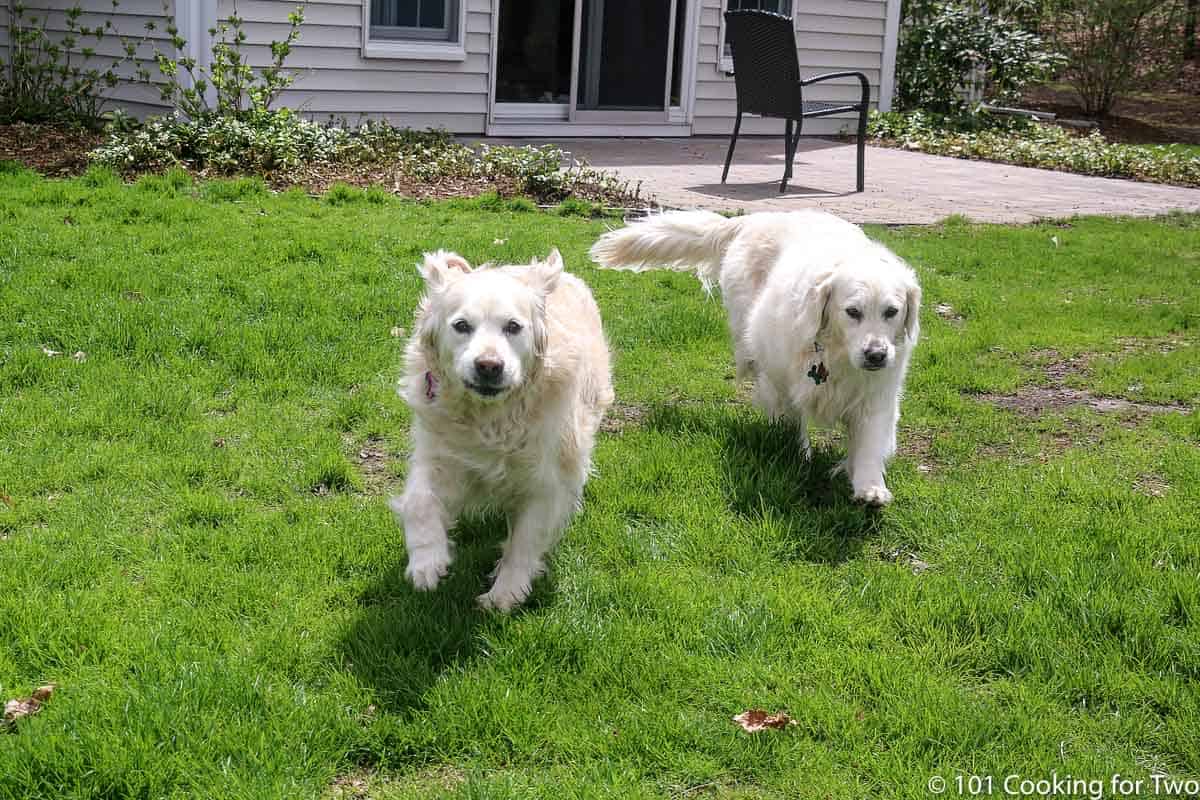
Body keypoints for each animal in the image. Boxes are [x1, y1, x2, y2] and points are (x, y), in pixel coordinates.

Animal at [391, 250, 614, 614]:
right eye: (461, 326)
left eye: (513, 327)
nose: (489, 366)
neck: (491, 418)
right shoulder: (439, 454)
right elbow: (419, 501)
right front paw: (427, 562)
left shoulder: (546, 482)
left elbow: (525, 540)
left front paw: (505, 592)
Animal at [588, 211, 916, 506]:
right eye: (852, 312)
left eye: (891, 311)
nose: (876, 355)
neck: (833, 354)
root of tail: (757, 217)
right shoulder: (783, 378)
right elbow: (791, 420)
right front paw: (800, 454)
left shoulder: (875, 396)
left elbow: (870, 445)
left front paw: (870, 488)